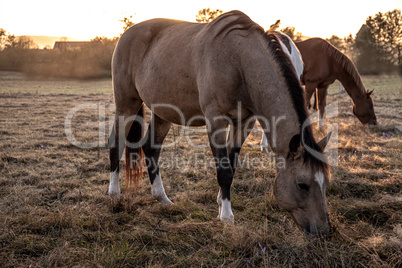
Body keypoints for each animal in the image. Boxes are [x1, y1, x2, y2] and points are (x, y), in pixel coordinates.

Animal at [107, 11, 332, 234]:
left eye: (325, 183)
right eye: (302, 184)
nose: (323, 230)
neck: (238, 61)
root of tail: (126, 35)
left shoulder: (244, 123)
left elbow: (231, 166)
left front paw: (221, 201)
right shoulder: (216, 122)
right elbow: (223, 170)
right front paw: (226, 216)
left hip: (163, 112)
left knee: (151, 148)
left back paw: (161, 197)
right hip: (126, 105)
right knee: (116, 143)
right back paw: (114, 194)